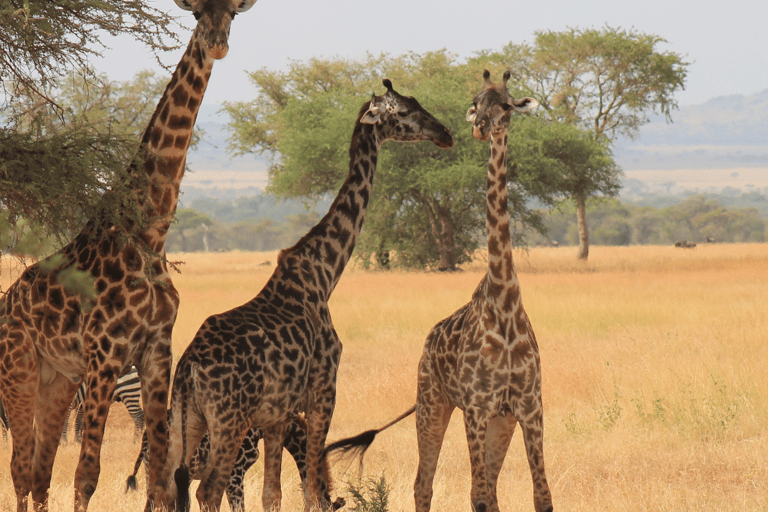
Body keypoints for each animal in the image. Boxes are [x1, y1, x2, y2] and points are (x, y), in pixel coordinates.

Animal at [0, 2, 258, 510]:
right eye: (196, 13)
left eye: (234, 14)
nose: (217, 43)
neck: (149, 236)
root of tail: (6, 303)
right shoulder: (106, 352)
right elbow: (87, 474)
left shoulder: (156, 351)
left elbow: (160, 475)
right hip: (18, 370)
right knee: (19, 470)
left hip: (56, 380)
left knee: (38, 473)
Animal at [156, 80, 456, 512]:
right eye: (404, 111)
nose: (445, 133)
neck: (323, 274)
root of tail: (190, 368)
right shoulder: (322, 392)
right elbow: (313, 490)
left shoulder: (277, 414)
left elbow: (273, 494)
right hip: (228, 420)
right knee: (207, 488)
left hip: (189, 419)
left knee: (165, 487)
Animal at [320, 70, 548, 512]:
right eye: (476, 102)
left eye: (506, 104)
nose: (480, 127)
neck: (505, 304)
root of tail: (427, 342)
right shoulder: (476, 407)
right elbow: (479, 497)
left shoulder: (529, 407)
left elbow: (540, 496)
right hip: (432, 402)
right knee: (425, 483)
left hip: (500, 420)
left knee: (486, 487)